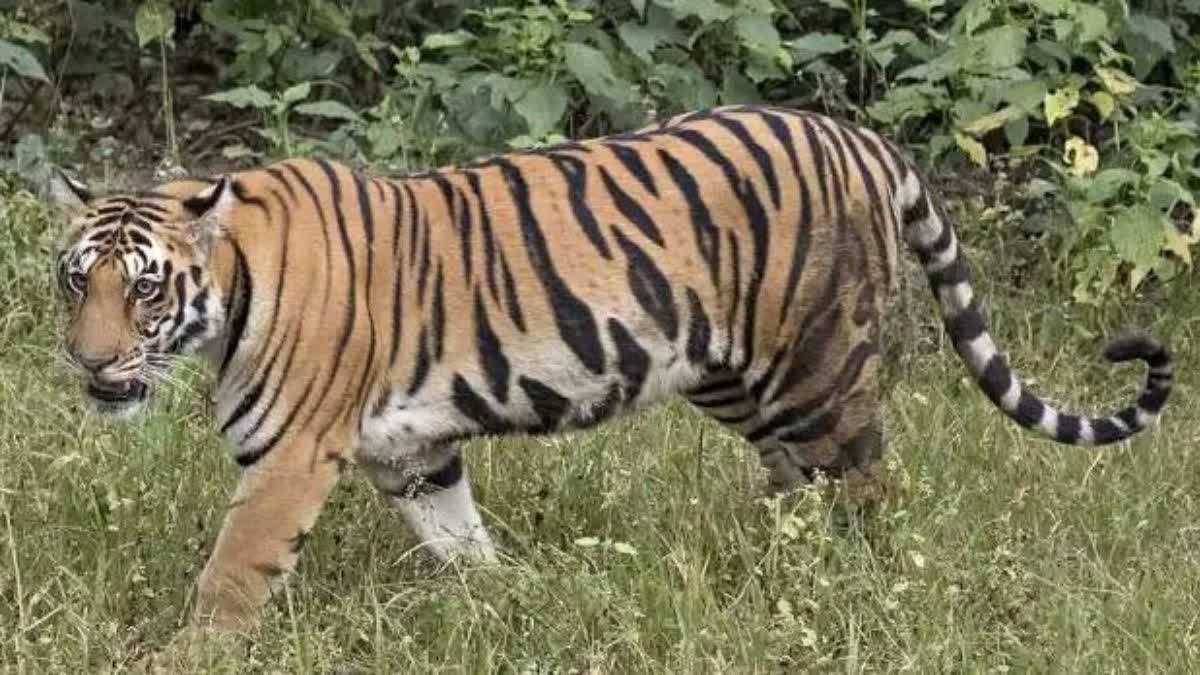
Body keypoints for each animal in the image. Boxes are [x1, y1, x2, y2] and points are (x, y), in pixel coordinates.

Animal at [49, 102, 1171, 629]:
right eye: (75, 283)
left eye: (142, 290)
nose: (91, 366)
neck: (229, 290)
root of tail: (860, 137)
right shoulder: (413, 453)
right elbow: (461, 541)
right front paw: (507, 606)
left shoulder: (288, 459)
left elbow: (230, 577)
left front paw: (187, 655)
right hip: (738, 380)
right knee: (798, 487)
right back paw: (773, 576)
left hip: (818, 368)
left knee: (868, 490)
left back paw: (861, 594)